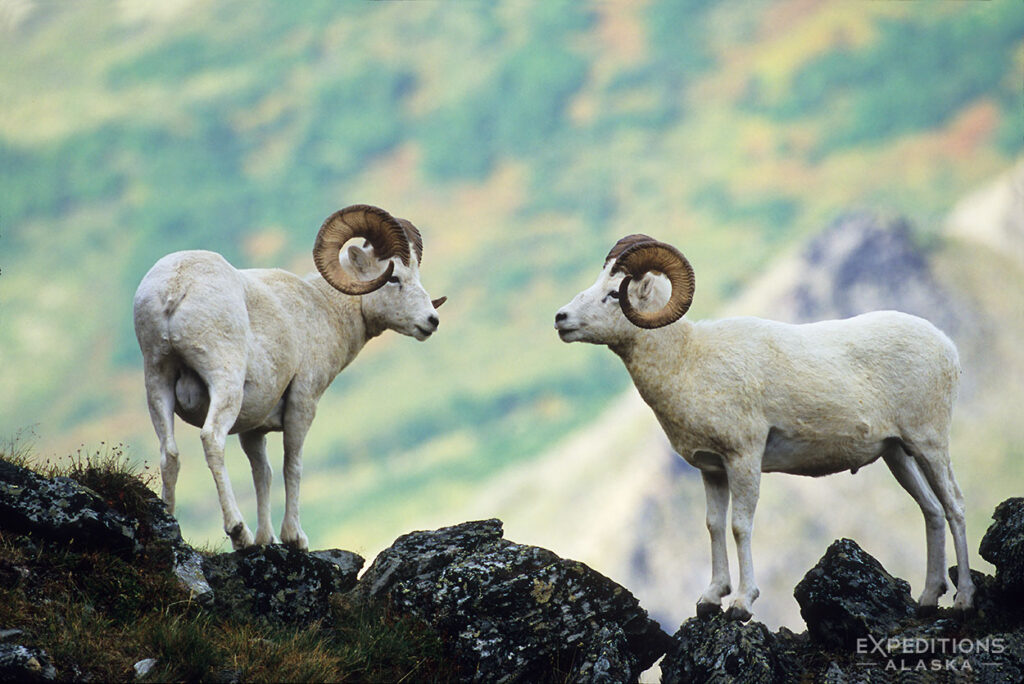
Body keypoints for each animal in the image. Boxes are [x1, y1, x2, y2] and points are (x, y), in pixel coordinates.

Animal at [133, 204, 446, 551]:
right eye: (393, 277)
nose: (431, 321)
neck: (323, 309)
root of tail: (176, 287)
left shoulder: (253, 429)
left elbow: (263, 474)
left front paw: (265, 539)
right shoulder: (302, 402)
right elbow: (291, 466)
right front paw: (294, 537)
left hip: (157, 380)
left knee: (169, 453)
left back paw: (173, 522)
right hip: (225, 381)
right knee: (211, 439)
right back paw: (238, 532)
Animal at [554, 234, 975, 621]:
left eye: (614, 293)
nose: (560, 319)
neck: (689, 361)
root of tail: (948, 346)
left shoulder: (744, 458)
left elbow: (740, 526)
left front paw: (742, 603)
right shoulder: (712, 469)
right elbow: (713, 525)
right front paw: (711, 598)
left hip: (929, 443)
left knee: (954, 505)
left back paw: (964, 598)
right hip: (897, 453)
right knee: (931, 510)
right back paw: (927, 598)